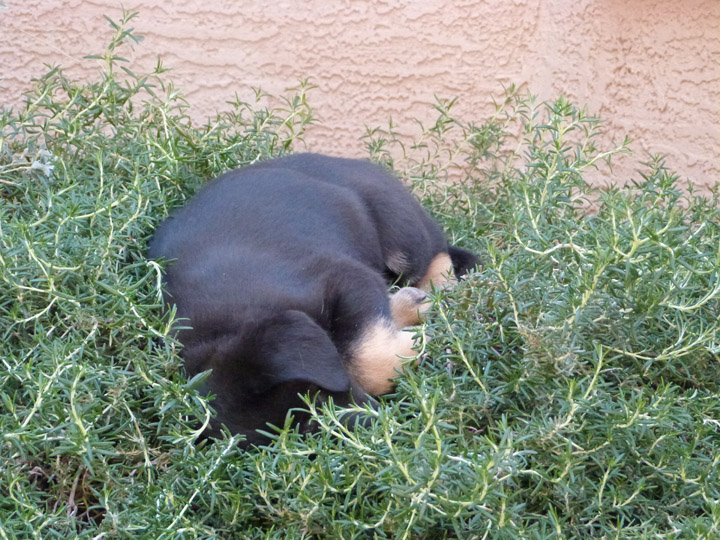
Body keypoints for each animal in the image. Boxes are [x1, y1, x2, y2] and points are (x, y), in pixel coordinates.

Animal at [148, 153, 476, 448]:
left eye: (314, 399)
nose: (382, 438)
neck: (232, 322)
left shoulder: (347, 278)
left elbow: (367, 359)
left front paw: (416, 344)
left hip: (396, 225)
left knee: (435, 254)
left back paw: (438, 294)